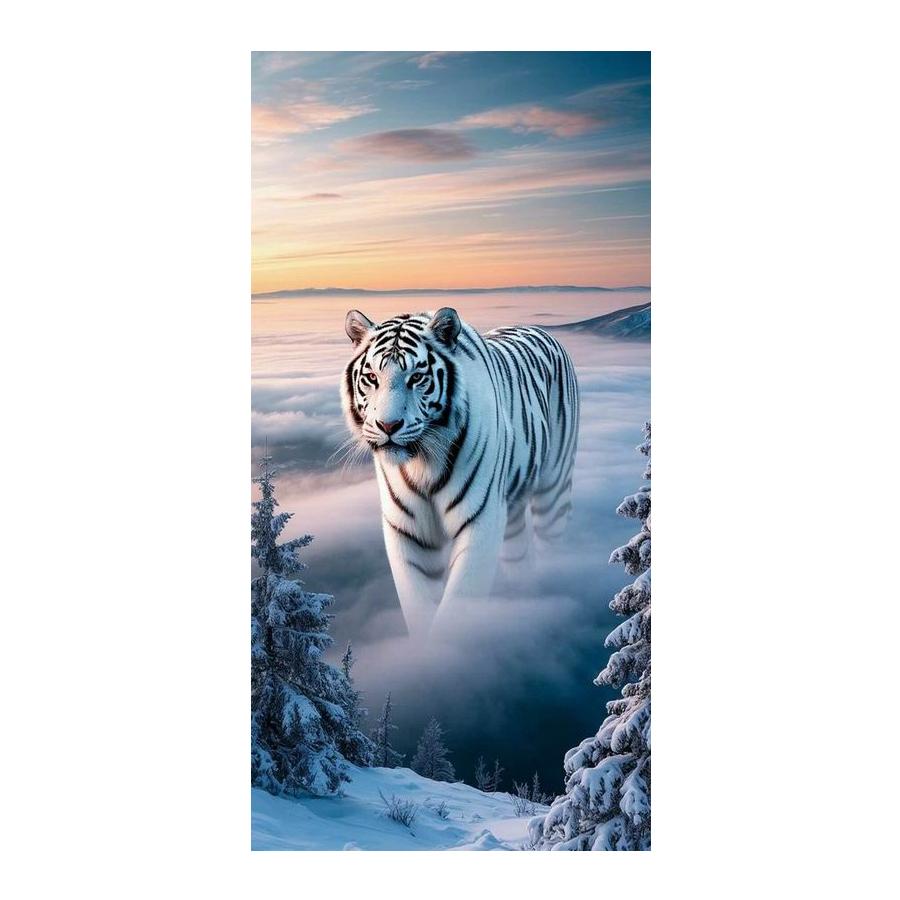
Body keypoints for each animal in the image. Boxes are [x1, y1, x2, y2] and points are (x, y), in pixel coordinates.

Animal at [341, 307, 579, 640]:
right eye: (372, 378)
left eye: (417, 377)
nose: (388, 426)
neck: (422, 462)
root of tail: (542, 330)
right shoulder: (407, 529)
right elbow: (418, 604)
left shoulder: (480, 519)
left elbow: (458, 604)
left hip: (553, 491)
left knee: (553, 547)